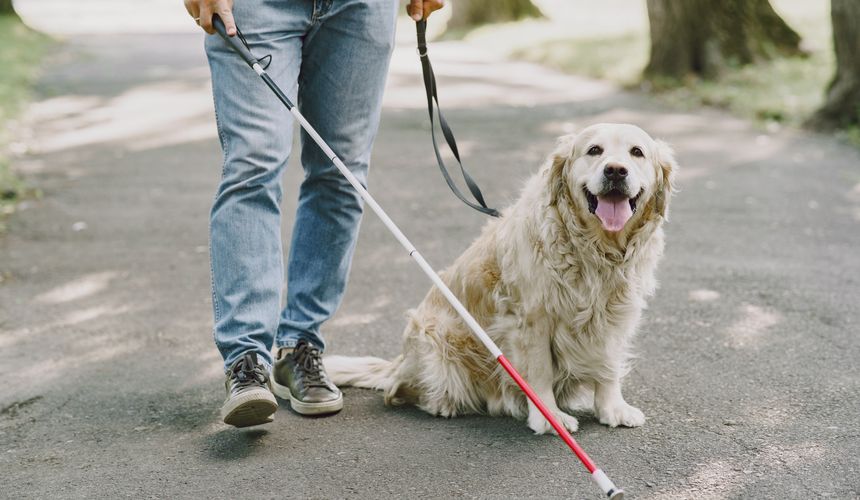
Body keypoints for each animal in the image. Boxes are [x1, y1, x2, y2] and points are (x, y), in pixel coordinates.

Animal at [326, 122, 676, 434]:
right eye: (594, 151)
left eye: (636, 152)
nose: (616, 171)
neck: (596, 249)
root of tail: (399, 361)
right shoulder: (531, 319)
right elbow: (540, 371)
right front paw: (550, 419)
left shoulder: (616, 313)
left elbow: (608, 365)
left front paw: (612, 408)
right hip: (436, 337)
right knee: (397, 389)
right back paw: (445, 403)